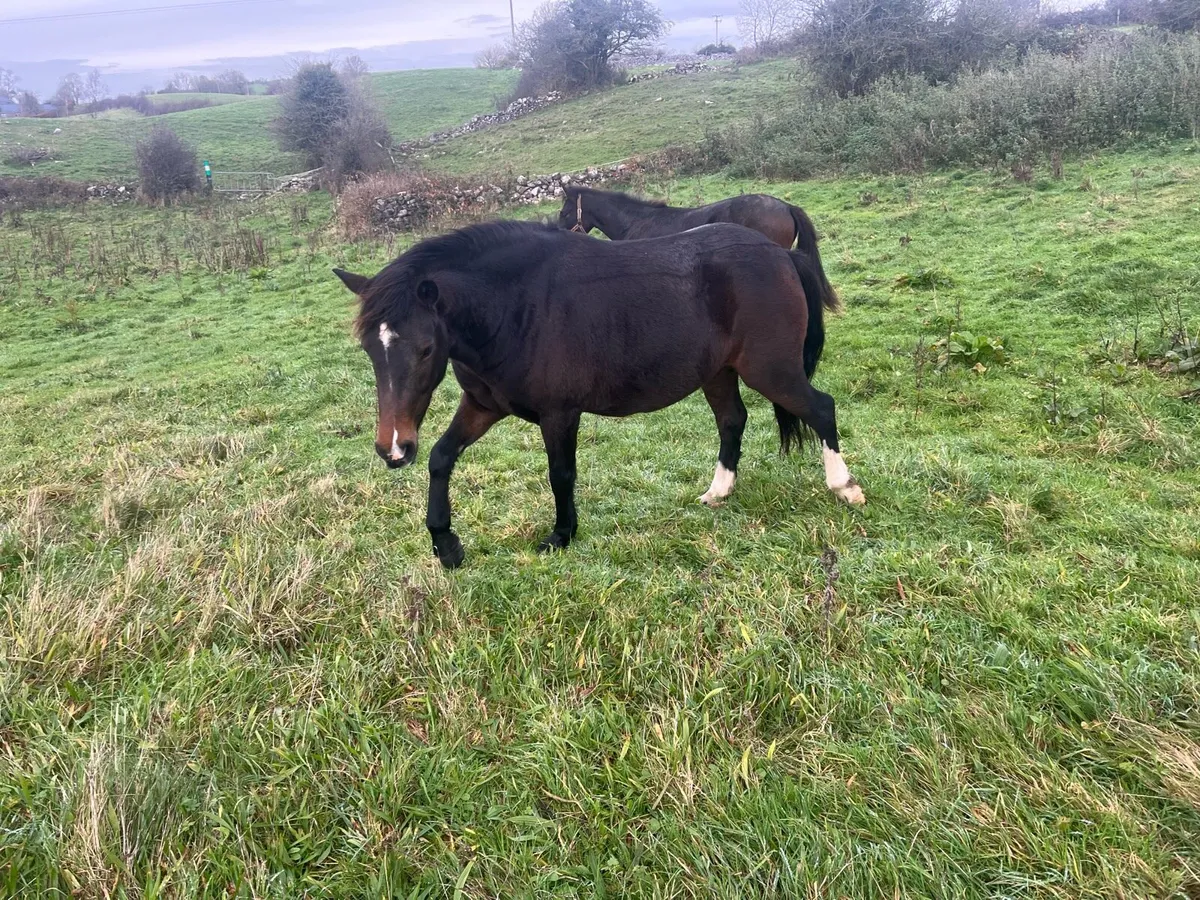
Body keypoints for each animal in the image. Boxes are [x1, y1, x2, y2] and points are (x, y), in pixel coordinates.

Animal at [334, 220, 863, 569]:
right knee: (733, 420)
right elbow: (442, 458)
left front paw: (561, 535)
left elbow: (560, 474)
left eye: (425, 349)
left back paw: (845, 487)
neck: (515, 306)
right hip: (718, 373)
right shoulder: (483, 406)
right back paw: (718, 492)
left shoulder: (559, 414)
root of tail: (781, 254)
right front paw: (446, 546)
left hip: (770, 370)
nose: (393, 448)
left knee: (821, 408)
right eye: (369, 348)